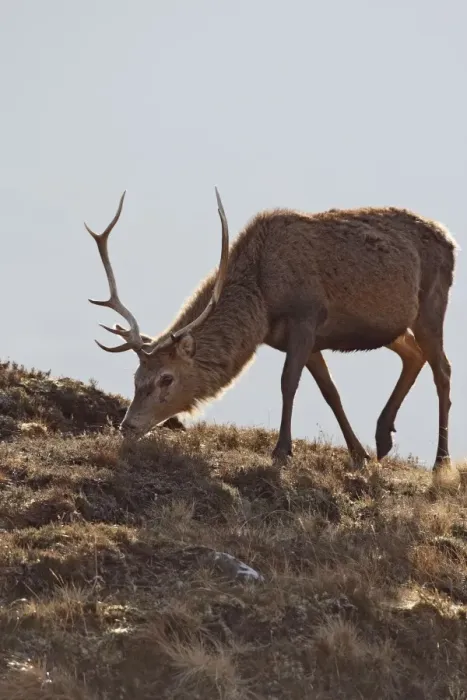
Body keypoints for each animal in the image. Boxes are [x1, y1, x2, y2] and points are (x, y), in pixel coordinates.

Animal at [84, 189, 457, 471]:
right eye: (136, 377)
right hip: (394, 326)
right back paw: (383, 437)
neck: (262, 304)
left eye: (167, 378)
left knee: (442, 368)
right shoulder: (306, 339)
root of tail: (450, 241)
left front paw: (281, 451)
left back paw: (441, 462)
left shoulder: (306, 316)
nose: (128, 425)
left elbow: (288, 383)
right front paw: (359, 453)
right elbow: (330, 391)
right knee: (414, 355)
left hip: (433, 300)